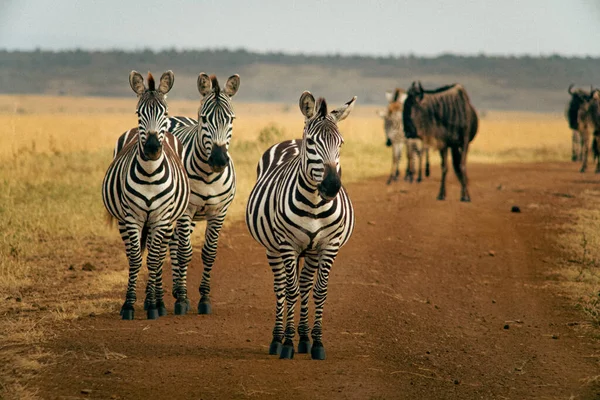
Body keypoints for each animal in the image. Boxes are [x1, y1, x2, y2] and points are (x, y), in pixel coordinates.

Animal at [101, 72, 190, 320]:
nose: (151, 149)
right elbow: (135, 259)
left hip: (167, 221)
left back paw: (157, 300)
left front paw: (153, 305)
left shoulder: (160, 217)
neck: (150, 173)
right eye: (139, 113)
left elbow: (153, 259)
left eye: (165, 113)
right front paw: (129, 305)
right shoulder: (132, 218)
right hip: (126, 220)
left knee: (158, 256)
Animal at [245, 92, 356, 360]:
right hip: (273, 248)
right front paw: (286, 344)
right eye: (312, 143)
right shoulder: (288, 245)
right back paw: (278, 338)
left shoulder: (329, 246)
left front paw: (316, 342)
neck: (314, 204)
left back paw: (304, 338)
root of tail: (292, 141)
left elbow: (319, 291)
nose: (331, 187)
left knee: (305, 285)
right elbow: (290, 290)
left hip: (311, 251)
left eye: (341, 143)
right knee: (281, 287)